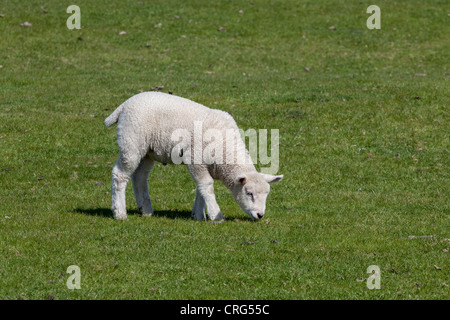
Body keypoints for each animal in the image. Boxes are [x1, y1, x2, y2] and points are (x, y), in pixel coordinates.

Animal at [103, 92, 284, 220]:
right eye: (249, 193)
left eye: (267, 194)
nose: (260, 215)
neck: (224, 148)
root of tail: (124, 105)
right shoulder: (195, 158)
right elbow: (206, 185)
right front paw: (216, 215)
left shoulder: (206, 165)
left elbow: (201, 188)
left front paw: (198, 214)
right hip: (131, 142)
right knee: (120, 174)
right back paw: (119, 213)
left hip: (147, 151)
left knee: (139, 177)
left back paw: (146, 210)